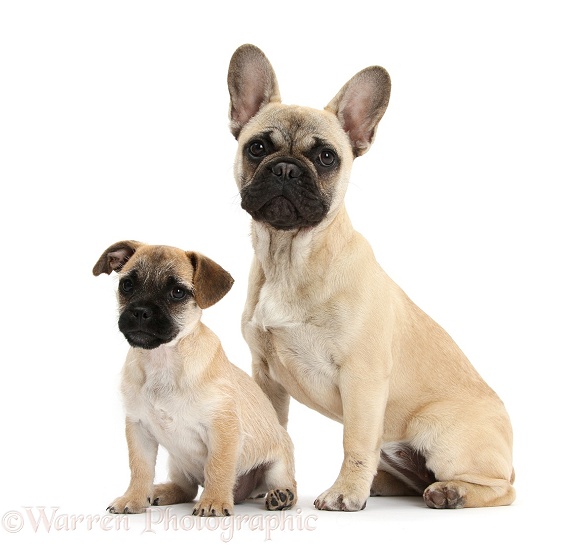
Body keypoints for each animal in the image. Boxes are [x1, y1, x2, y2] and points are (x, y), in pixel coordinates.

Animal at [91, 241, 300, 516]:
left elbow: (218, 467)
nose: (140, 312)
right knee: (187, 488)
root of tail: (244, 494)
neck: (163, 359)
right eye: (127, 285)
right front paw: (134, 498)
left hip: (277, 466)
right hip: (178, 464)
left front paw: (214, 501)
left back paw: (281, 496)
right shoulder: (138, 430)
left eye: (178, 292)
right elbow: (140, 469)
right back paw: (159, 492)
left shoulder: (222, 429)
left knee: (288, 483)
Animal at [228, 45, 516, 510]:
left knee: (501, 489)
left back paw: (449, 492)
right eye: (256, 148)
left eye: (326, 157)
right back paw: (383, 484)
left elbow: (355, 442)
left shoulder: (361, 378)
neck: (291, 258)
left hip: (439, 432)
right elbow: (276, 429)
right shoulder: (266, 377)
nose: (286, 169)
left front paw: (345, 493)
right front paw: (271, 484)